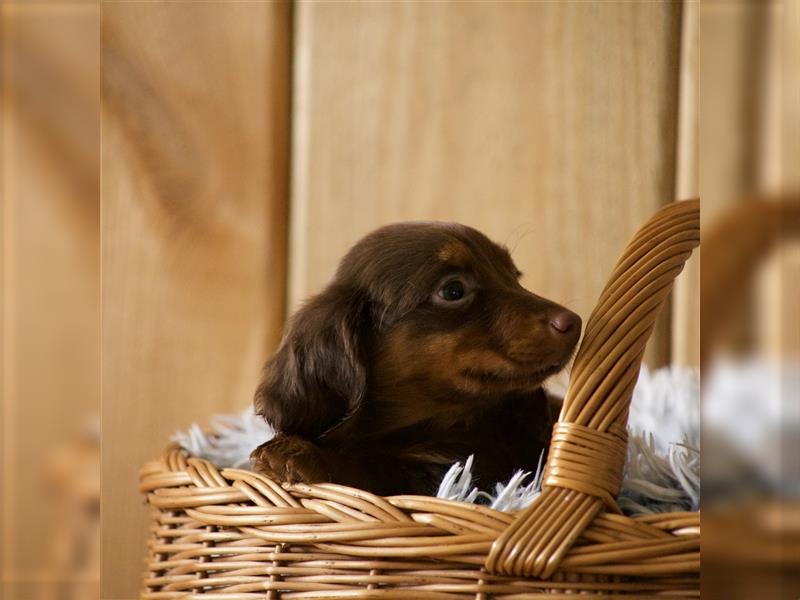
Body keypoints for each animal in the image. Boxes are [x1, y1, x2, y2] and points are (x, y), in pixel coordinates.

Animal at [252, 223, 580, 494]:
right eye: (453, 290)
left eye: (513, 275)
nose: (574, 322)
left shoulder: (466, 472)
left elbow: (378, 473)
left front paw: (302, 455)